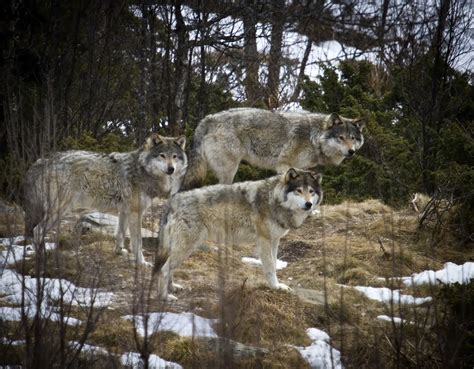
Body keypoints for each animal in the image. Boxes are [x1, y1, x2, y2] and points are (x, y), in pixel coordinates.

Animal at [24, 134, 187, 264]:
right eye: (162, 155)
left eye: (174, 156)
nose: (171, 169)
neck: (142, 170)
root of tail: (42, 160)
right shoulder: (136, 212)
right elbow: (137, 242)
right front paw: (142, 262)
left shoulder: (125, 212)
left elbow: (120, 234)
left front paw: (119, 252)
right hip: (60, 211)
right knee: (37, 231)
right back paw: (42, 259)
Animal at [154, 167, 324, 300]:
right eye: (298, 191)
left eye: (311, 191)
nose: (308, 204)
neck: (273, 199)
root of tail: (172, 201)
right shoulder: (264, 240)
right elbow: (270, 267)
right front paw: (275, 287)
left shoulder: (275, 240)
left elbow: (275, 264)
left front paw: (278, 285)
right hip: (186, 247)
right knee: (164, 269)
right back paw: (165, 297)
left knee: (169, 268)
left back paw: (173, 287)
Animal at [181, 105, 366, 187]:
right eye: (341, 138)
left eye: (353, 138)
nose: (351, 152)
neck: (313, 137)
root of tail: (208, 118)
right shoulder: (284, 164)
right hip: (230, 169)